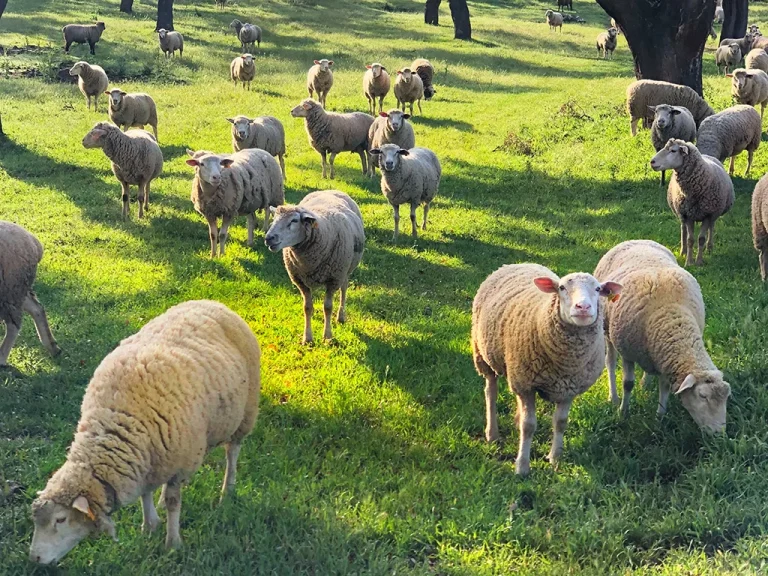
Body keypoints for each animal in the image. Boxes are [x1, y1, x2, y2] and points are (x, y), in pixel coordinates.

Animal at [0, 221, 61, 367]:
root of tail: (35, 244)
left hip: (11, 291)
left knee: (14, 325)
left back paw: (1, 358)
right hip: (18, 290)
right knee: (37, 308)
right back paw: (53, 347)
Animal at [29, 300, 261, 564]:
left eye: (60, 519)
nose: (34, 558)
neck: (114, 429)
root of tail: (212, 302)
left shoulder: (179, 462)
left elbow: (173, 502)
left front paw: (172, 543)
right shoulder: (147, 457)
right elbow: (145, 493)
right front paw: (149, 526)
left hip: (245, 413)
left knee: (232, 452)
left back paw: (227, 490)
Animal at [265, 190, 364, 344]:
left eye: (294, 221)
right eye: (274, 218)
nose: (269, 238)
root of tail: (332, 189)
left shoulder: (333, 279)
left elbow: (327, 308)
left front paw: (327, 336)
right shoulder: (300, 281)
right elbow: (307, 308)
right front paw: (307, 338)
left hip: (346, 270)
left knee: (344, 288)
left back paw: (341, 316)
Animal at [472, 263, 622, 476]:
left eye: (598, 289)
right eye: (562, 288)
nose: (583, 308)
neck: (565, 362)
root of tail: (517, 263)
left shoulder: (568, 388)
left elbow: (560, 422)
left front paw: (555, 458)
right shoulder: (526, 385)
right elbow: (528, 426)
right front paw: (522, 466)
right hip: (484, 355)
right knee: (490, 392)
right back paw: (492, 433)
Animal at [594, 240, 731, 433]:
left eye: (726, 397)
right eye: (702, 396)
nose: (719, 434)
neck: (673, 318)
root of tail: (636, 239)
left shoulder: (666, 358)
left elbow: (664, 388)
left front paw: (660, 417)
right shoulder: (628, 354)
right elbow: (627, 384)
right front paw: (623, 412)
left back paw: (644, 383)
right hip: (608, 330)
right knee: (611, 363)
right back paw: (613, 398)